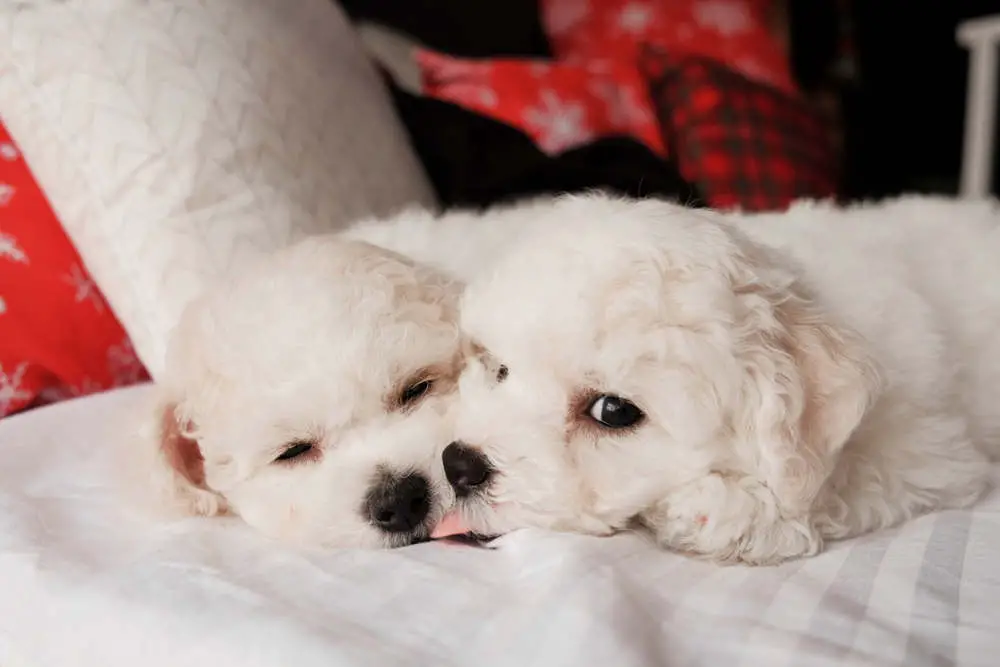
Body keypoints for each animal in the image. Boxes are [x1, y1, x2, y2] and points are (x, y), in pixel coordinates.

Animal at [434, 192, 1000, 564]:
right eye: (501, 368)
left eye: (613, 411)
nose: (457, 465)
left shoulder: (932, 449)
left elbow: (844, 480)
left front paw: (724, 512)